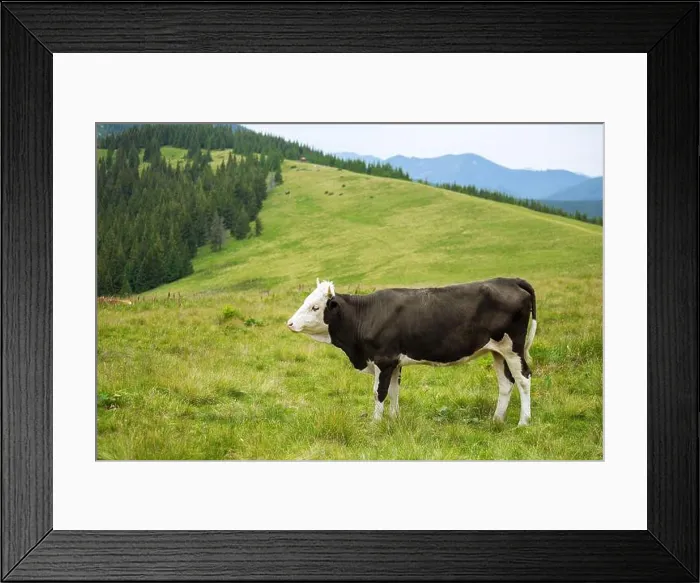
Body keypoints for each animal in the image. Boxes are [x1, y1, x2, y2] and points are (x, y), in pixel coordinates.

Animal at [287, 277, 537, 426]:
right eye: (306, 301)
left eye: (315, 307)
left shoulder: (383, 359)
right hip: (498, 351)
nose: (289, 323)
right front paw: (394, 419)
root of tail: (509, 280)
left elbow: (379, 392)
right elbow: (394, 391)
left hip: (513, 348)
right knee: (506, 382)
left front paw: (376, 424)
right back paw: (497, 419)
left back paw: (523, 422)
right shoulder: (394, 362)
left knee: (523, 379)